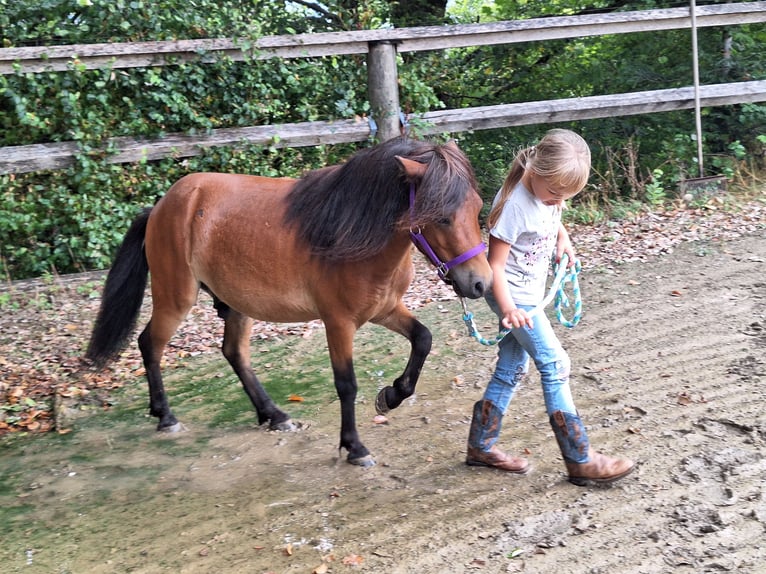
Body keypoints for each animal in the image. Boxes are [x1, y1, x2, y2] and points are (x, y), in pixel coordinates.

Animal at [86, 136, 492, 466]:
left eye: (476, 208)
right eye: (441, 217)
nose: (480, 283)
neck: (351, 232)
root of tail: (160, 207)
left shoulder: (385, 309)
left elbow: (423, 338)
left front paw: (391, 396)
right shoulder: (338, 322)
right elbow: (346, 384)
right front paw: (354, 446)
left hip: (236, 304)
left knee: (234, 353)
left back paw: (273, 415)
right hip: (176, 297)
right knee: (150, 344)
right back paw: (166, 416)